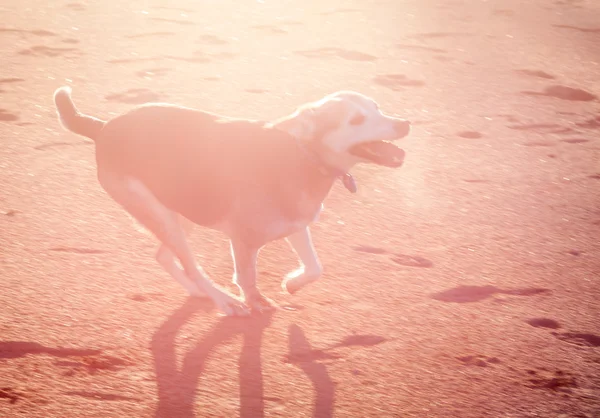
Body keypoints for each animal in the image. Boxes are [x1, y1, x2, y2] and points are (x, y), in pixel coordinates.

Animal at [54, 88, 410, 316]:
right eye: (356, 120)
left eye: (377, 107)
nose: (404, 123)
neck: (305, 155)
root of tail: (103, 128)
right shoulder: (244, 241)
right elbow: (248, 279)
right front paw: (256, 301)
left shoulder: (298, 224)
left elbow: (314, 267)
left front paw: (292, 284)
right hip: (161, 215)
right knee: (189, 264)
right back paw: (223, 301)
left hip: (181, 209)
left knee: (165, 257)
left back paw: (202, 293)